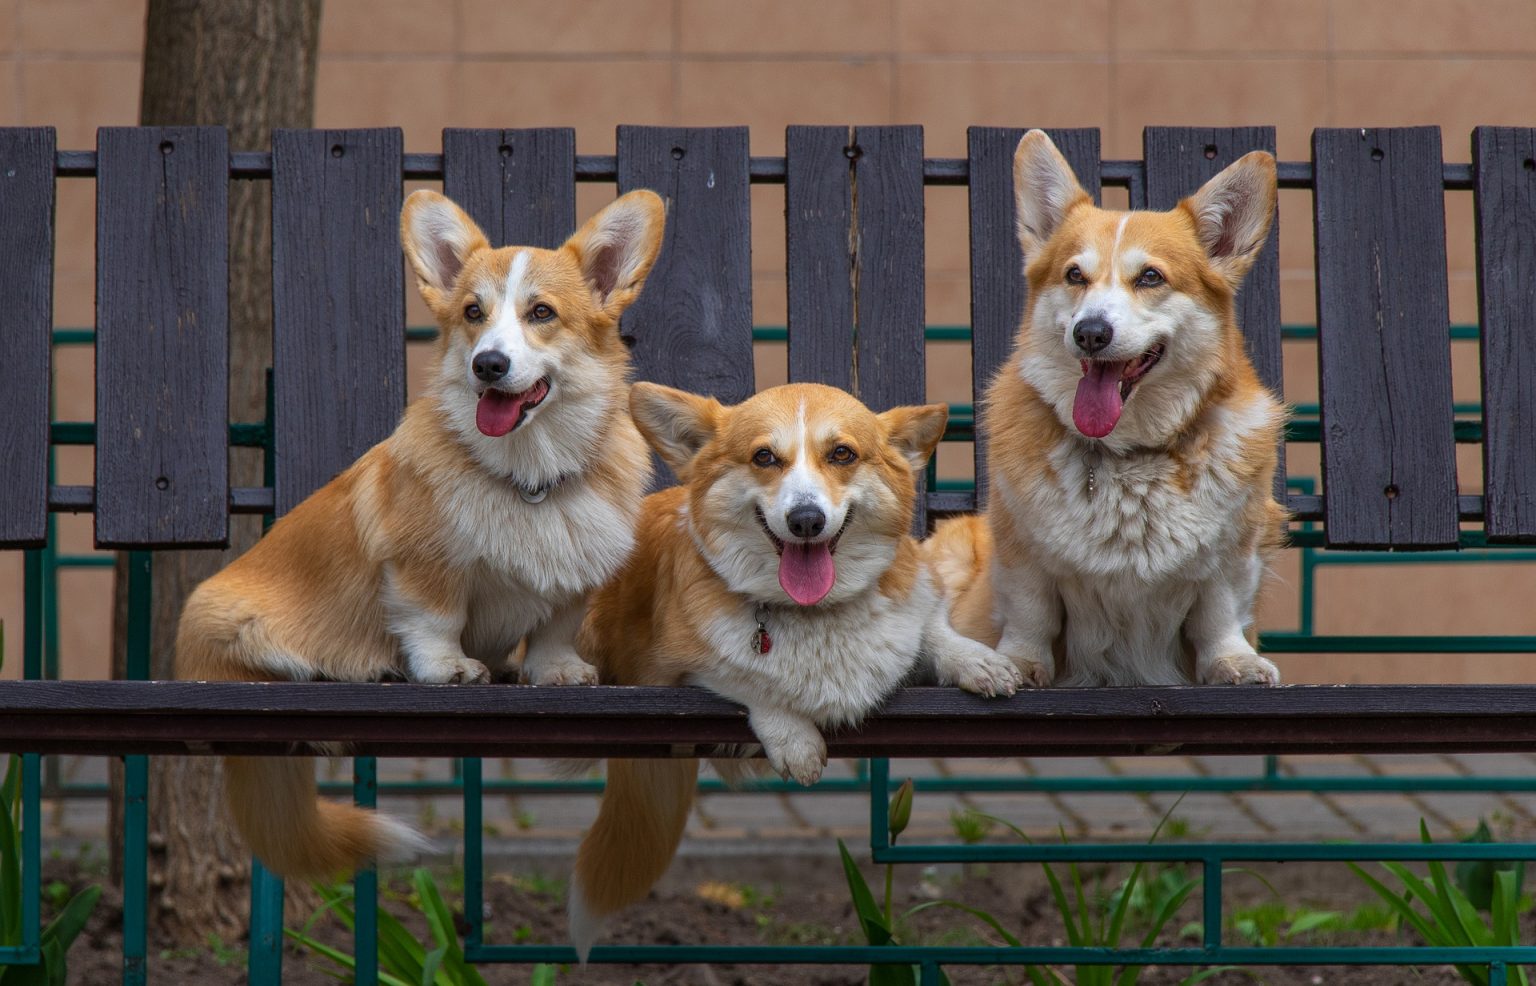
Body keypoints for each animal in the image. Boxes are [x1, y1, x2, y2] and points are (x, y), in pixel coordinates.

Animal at [175, 184, 666, 872]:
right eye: (472, 312)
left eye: (542, 312)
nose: (488, 365)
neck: (529, 474)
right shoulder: (422, 565)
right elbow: (435, 619)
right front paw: (448, 668)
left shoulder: (574, 580)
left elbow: (554, 628)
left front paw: (554, 671)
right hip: (237, 629)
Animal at [565, 377, 1019, 952]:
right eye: (764, 457)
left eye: (842, 453)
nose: (807, 520)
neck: (816, 612)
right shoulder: (671, 668)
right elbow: (747, 678)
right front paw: (796, 741)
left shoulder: (918, 611)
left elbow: (935, 632)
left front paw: (980, 662)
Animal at [921, 129, 1284, 681]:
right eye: (1075, 275)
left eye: (1151, 277)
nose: (1090, 333)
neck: (1126, 455)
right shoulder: (1022, 554)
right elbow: (1032, 613)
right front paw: (1020, 662)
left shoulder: (1233, 554)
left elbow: (1218, 612)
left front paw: (1233, 661)